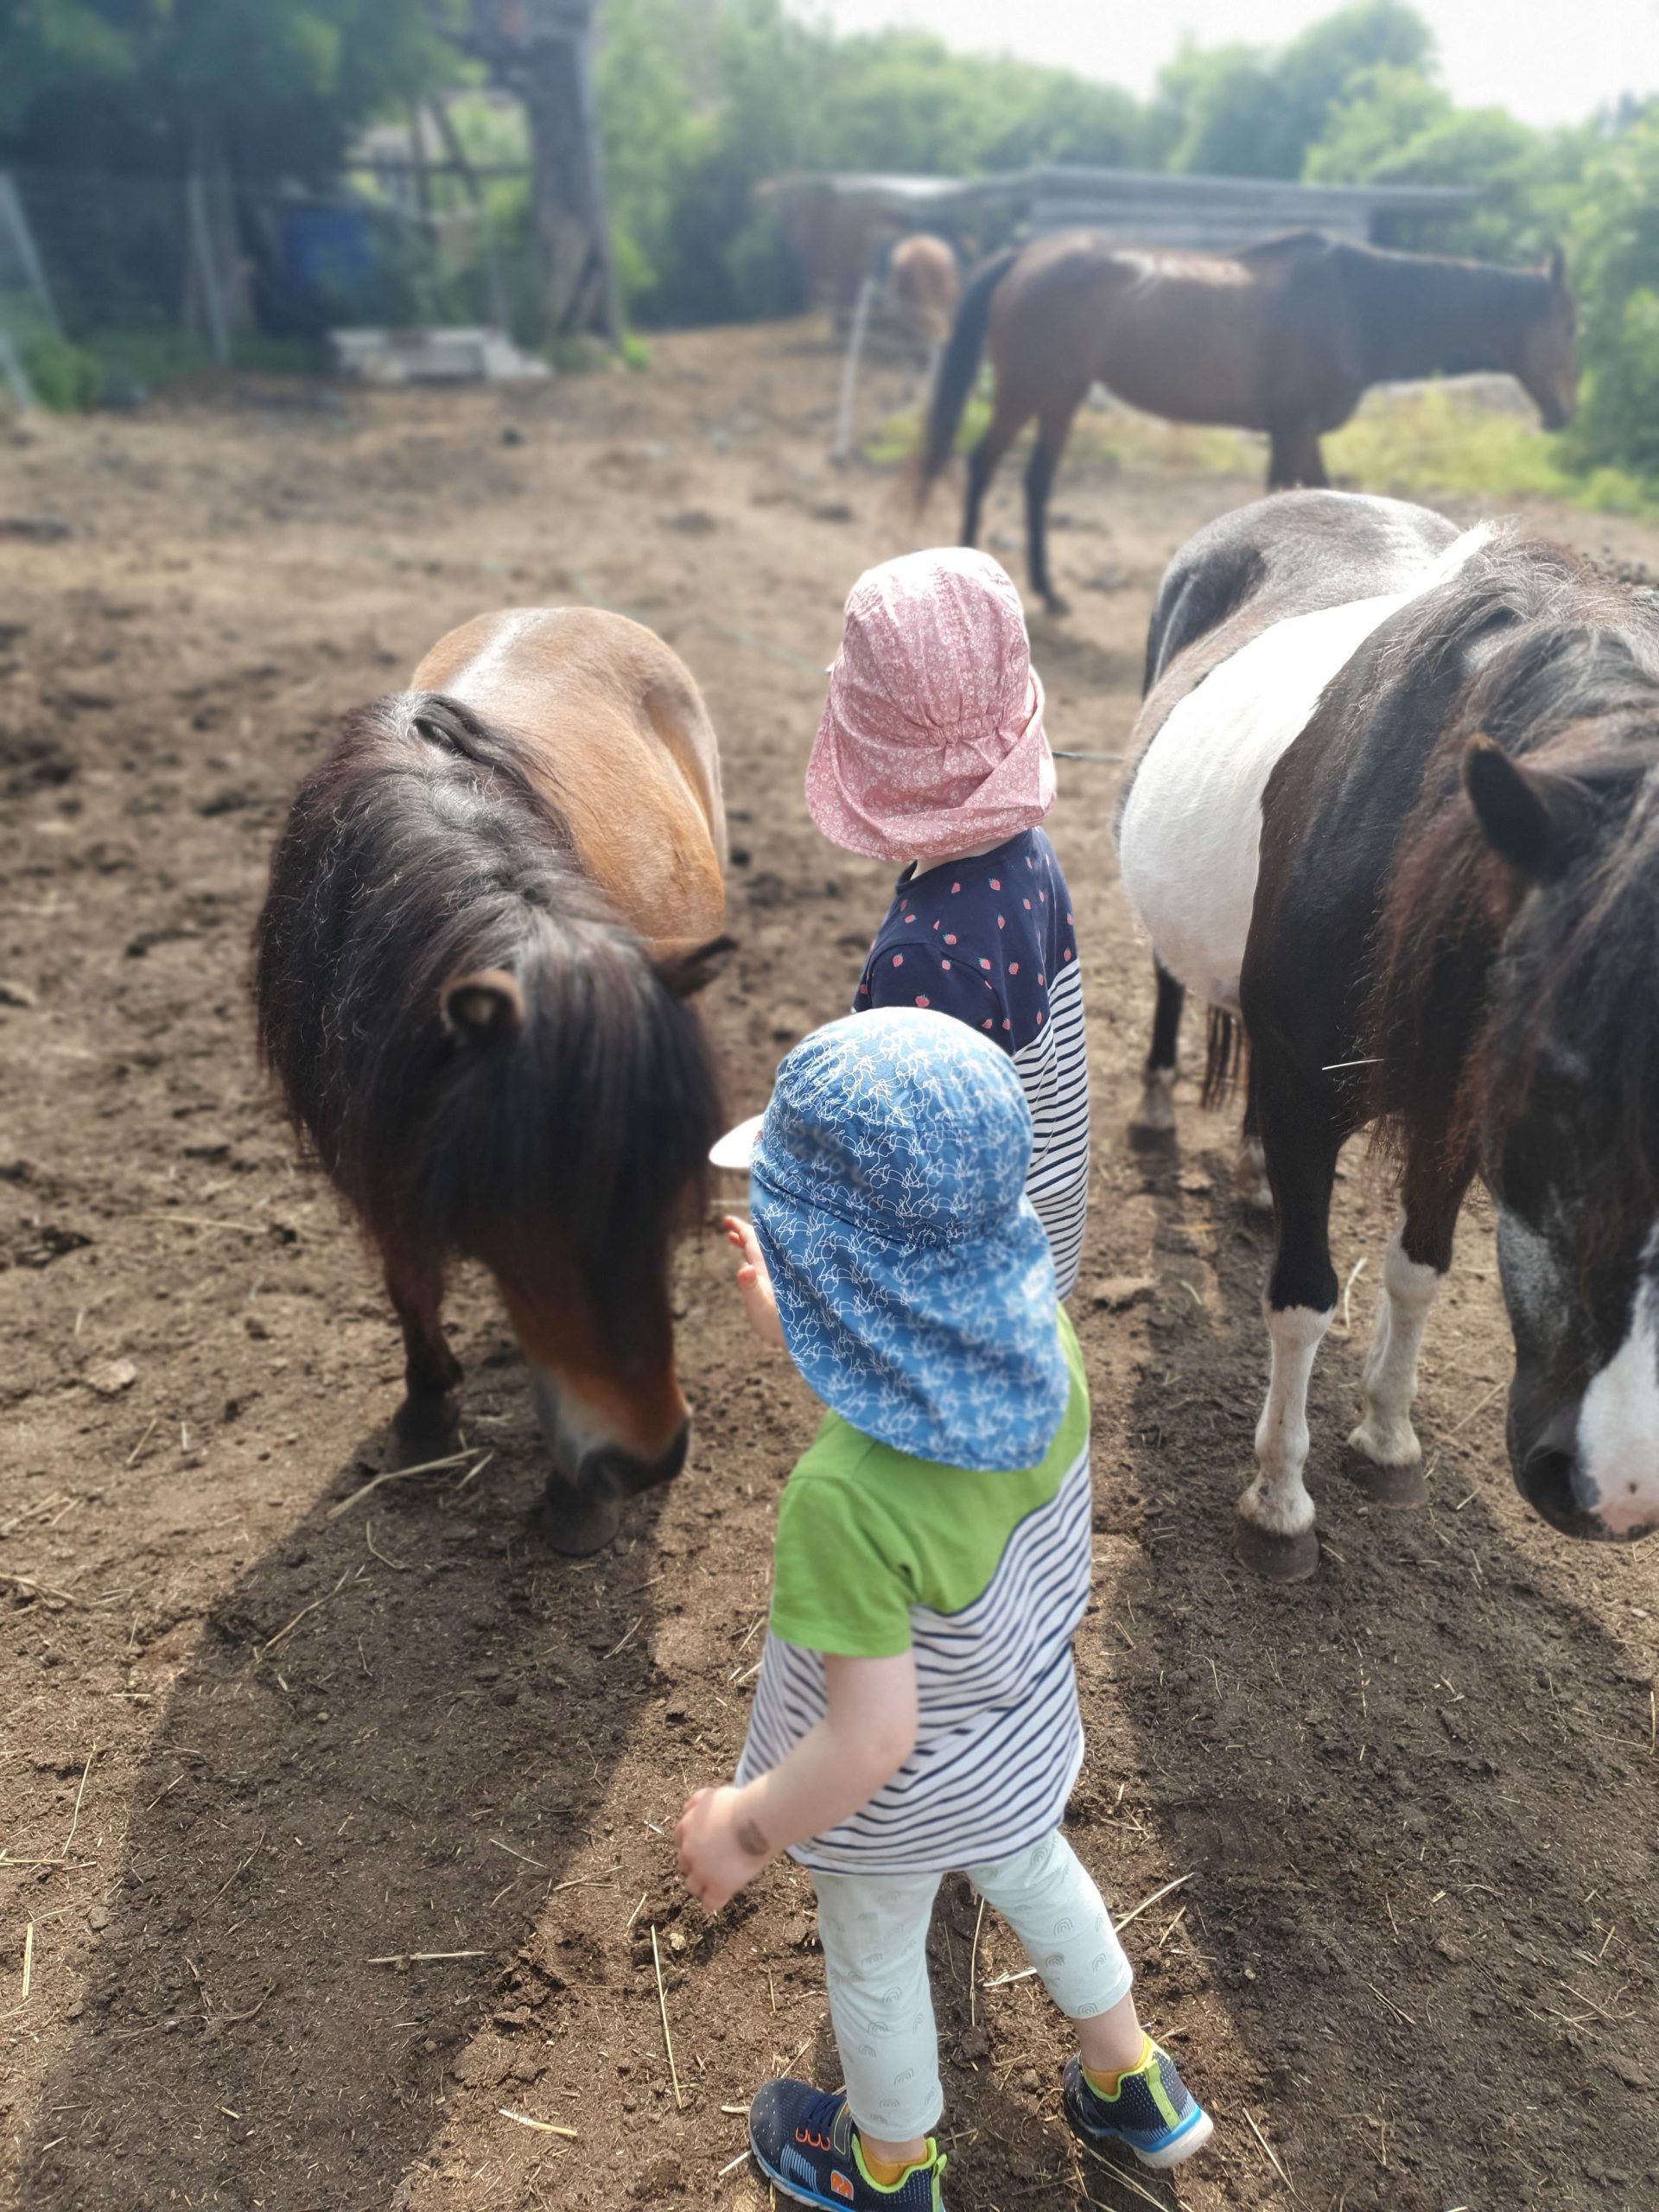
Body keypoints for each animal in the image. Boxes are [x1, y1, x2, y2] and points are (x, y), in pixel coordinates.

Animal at [255, 606, 734, 1557]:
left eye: (672, 1187)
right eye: (520, 1202)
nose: (647, 1460)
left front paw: (575, 1501)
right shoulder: (375, 1139)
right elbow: (407, 1273)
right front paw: (426, 1413)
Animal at [925, 231, 1583, 614]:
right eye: (1572, 326)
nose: (1567, 414)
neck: (1354, 306)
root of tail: (1028, 256)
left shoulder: (1304, 432)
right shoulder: (1291, 430)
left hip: (1063, 395)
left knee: (1036, 480)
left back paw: (1048, 590)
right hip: (1028, 390)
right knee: (982, 464)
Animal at [1110, 495, 1659, 1583]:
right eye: (1558, 1080)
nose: (1618, 1489)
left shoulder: (1451, 1110)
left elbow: (1420, 1268)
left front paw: (1389, 1438)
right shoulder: (1313, 1094)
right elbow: (1306, 1297)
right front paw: (1280, 1502)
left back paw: (1252, 1174)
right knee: (1167, 984)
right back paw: (1157, 1109)